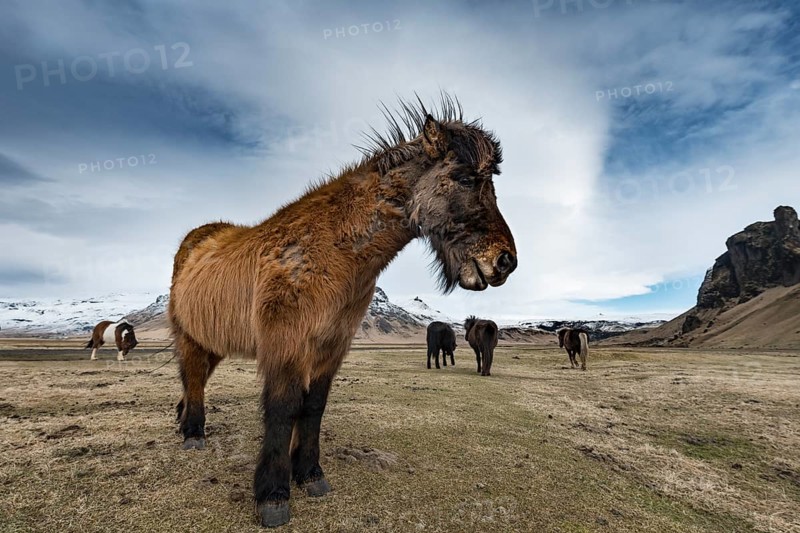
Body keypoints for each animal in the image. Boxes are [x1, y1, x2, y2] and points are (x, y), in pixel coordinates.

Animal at [168, 95, 517, 527]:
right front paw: (273, 496)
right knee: (193, 375)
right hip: (190, 336)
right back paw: (193, 434)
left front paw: (310, 474)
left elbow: (313, 407)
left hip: (214, 342)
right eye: (467, 179)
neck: (334, 252)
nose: (506, 261)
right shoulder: (286, 345)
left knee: (195, 379)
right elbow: (283, 409)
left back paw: (185, 421)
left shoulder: (330, 347)